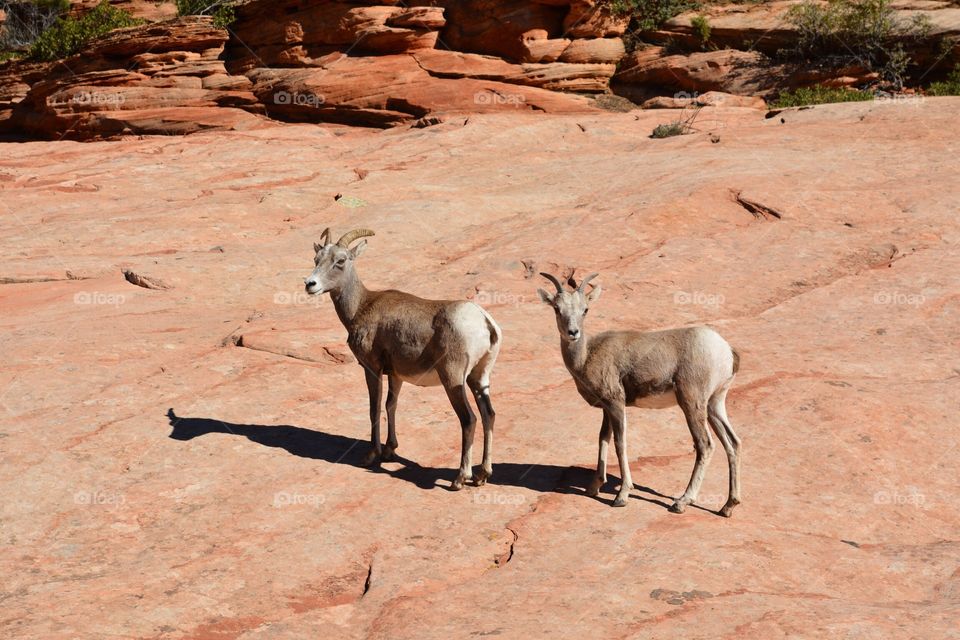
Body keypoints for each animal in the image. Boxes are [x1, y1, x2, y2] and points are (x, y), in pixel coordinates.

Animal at [306, 228, 502, 488]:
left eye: (340, 261)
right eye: (316, 260)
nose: (310, 284)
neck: (361, 306)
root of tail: (484, 322)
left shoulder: (371, 368)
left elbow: (374, 408)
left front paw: (372, 455)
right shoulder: (396, 375)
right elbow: (391, 405)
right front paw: (390, 450)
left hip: (453, 379)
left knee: (469, 419)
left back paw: (460, 479)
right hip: (478, 377)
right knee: (488, 414)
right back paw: (482, 476)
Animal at [540, 270, 744, 516]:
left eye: (585, 309)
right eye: (557, 308)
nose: (573, 333)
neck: (587, 355)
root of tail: (725, 350)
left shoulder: (616, 403)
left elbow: (620, 443)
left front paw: (621, 496)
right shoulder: (607, 408)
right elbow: (603, 439)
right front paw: (593, 487)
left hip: (692, 403)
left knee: (705, 445)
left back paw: (681, 502)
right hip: (714, 404)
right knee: (733, 443)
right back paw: (728, 506)